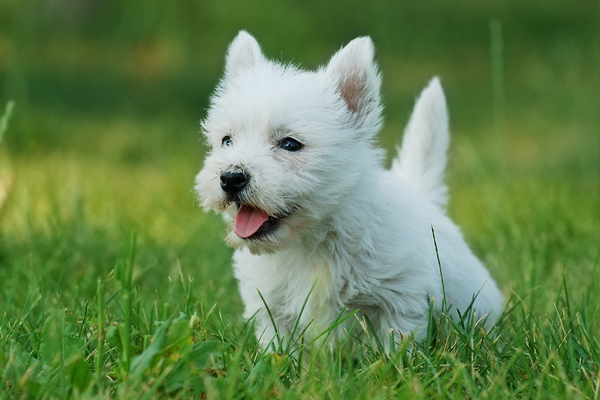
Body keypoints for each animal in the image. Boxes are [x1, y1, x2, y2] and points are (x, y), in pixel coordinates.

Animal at [196, 32, 502, 350]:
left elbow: (395, 346)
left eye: (291, 144)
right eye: (226, 140)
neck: (312, 241)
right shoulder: (271, 308)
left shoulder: (401, 299)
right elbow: (277, 347)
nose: (231, 177)